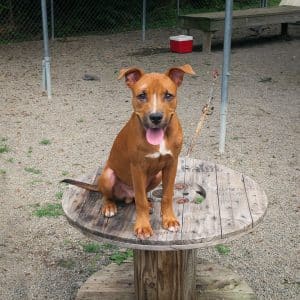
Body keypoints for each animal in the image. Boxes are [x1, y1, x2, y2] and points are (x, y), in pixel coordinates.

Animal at [63, 64, 195, 238]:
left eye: (168, 95)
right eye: (141, 95)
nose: (155, 117)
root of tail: (125, 195)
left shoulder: (171, 164)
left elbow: (167, 195)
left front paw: (169, 220)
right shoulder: (137, 167)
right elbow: (140, 201)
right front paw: (143, 227)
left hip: (156, 176)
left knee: (138, 197)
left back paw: (149, 203)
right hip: (108, 175)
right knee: (111, 195)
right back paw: (109, 207)